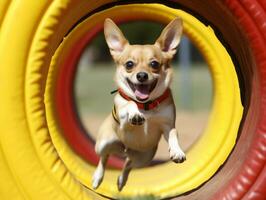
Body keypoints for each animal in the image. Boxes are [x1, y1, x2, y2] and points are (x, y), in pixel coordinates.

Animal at [92, 18, 186, 191]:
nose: (142, 75)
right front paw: (135, 114)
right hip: (104, 143)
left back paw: (121, 181)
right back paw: (97, 178)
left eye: (154, 64)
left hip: (144, 158)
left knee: (128, 164)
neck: (146, 106)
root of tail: (125, 150)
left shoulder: (168, 125)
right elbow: (129, 103)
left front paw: (177, 151)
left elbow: (173, 134)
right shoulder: (123, 121)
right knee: (104, 157)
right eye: (129, 64)